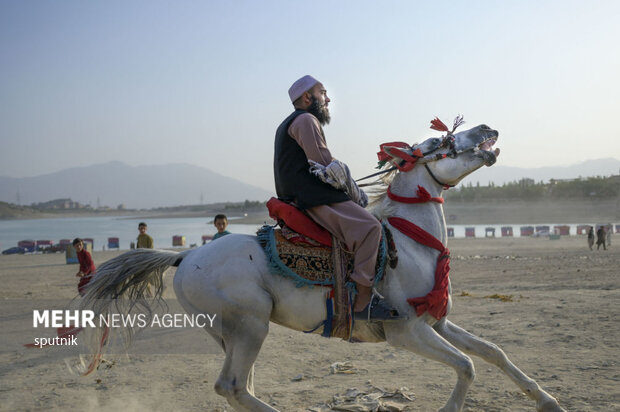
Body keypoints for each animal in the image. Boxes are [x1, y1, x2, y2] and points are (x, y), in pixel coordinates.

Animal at [78, 123, 568, 412]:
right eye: (435, 142)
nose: (487, 127)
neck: (413, 243)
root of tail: (184, 256)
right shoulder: (407, 332)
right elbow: (467, 366)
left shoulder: (437, 322)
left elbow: (492, 352)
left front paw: (548, 401)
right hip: (250, 325)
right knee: (231, 386)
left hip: (232, 333)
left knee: (239, 387)